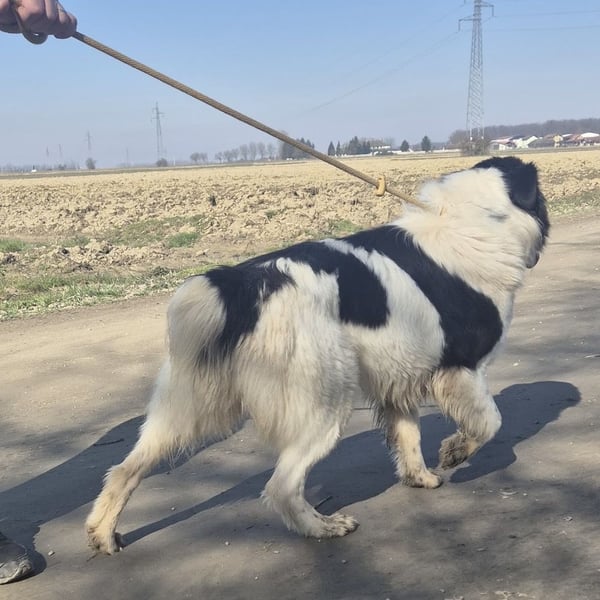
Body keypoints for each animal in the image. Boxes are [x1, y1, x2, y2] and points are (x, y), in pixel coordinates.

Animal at [86, 156, 549, 554]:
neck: (478, 217)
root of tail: (243, 286)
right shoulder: (462, 368)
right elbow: (489, 421)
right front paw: (456, 452)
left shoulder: (397, 380)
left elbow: (409, 438)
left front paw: (420, 477)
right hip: (324, 405)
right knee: (281, 487)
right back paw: (323, 527)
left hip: (187, 410)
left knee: (125, 469)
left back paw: (104, 534)